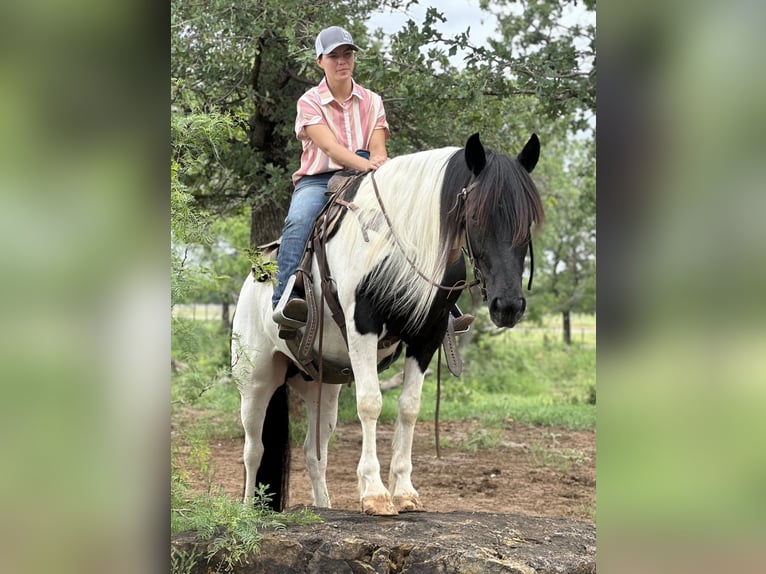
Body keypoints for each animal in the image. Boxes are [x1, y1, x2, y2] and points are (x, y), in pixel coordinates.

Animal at [231, 134, 544, 516]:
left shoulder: (428, 335)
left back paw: (324, 506)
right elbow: (370, 403)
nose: (508, 306)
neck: (398, 243)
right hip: (255, 380)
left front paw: (405, 491)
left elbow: (409, 408)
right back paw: (247, 510)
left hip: (323, 387)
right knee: (254, 449)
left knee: (315, 453)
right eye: (475, 215)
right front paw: (375, 493)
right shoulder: (362, 325)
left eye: (528, 220)